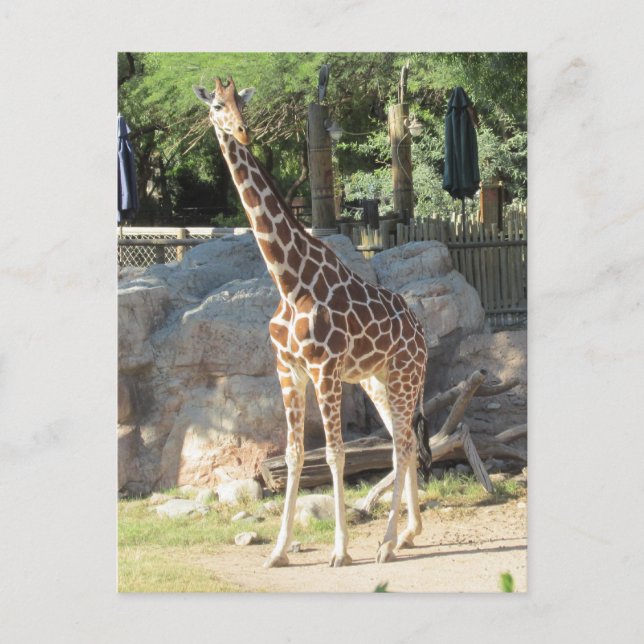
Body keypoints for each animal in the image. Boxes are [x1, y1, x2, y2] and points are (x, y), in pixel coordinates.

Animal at [194, 77, 429, 567]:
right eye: (217, 105)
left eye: (242, 103)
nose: (241, 132)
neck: (288, 280)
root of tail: (422, 334)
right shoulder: (288, 370)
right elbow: (294, 454)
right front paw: (278, 550)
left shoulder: (324, 370)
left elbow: (336, 453)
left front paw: (340, 550)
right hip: (378, 381)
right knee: (403, 441)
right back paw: (407, 534)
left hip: (404, 377)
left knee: (402, 444)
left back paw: (386, 542)